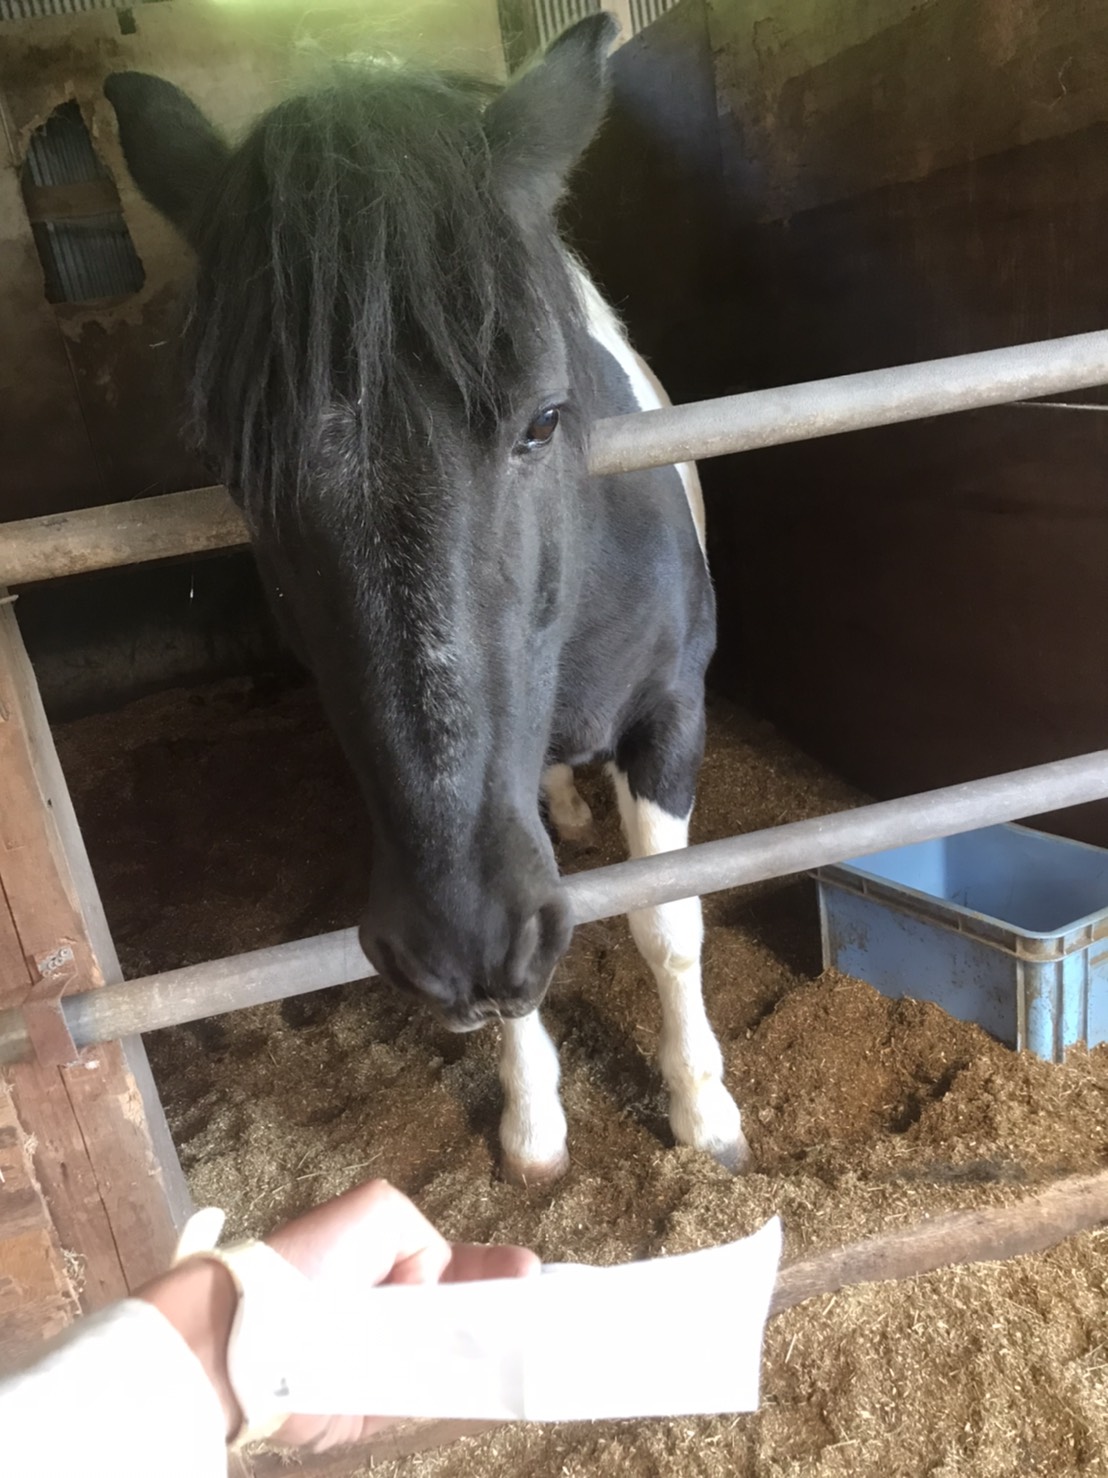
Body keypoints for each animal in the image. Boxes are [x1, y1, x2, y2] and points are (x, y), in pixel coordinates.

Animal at [104, 13, 749, 1185]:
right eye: (234, 469)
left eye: (543, 420)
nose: (461, 943)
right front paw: (534, 1124)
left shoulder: (672, 712)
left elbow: (667, 927)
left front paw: (703, 1112)